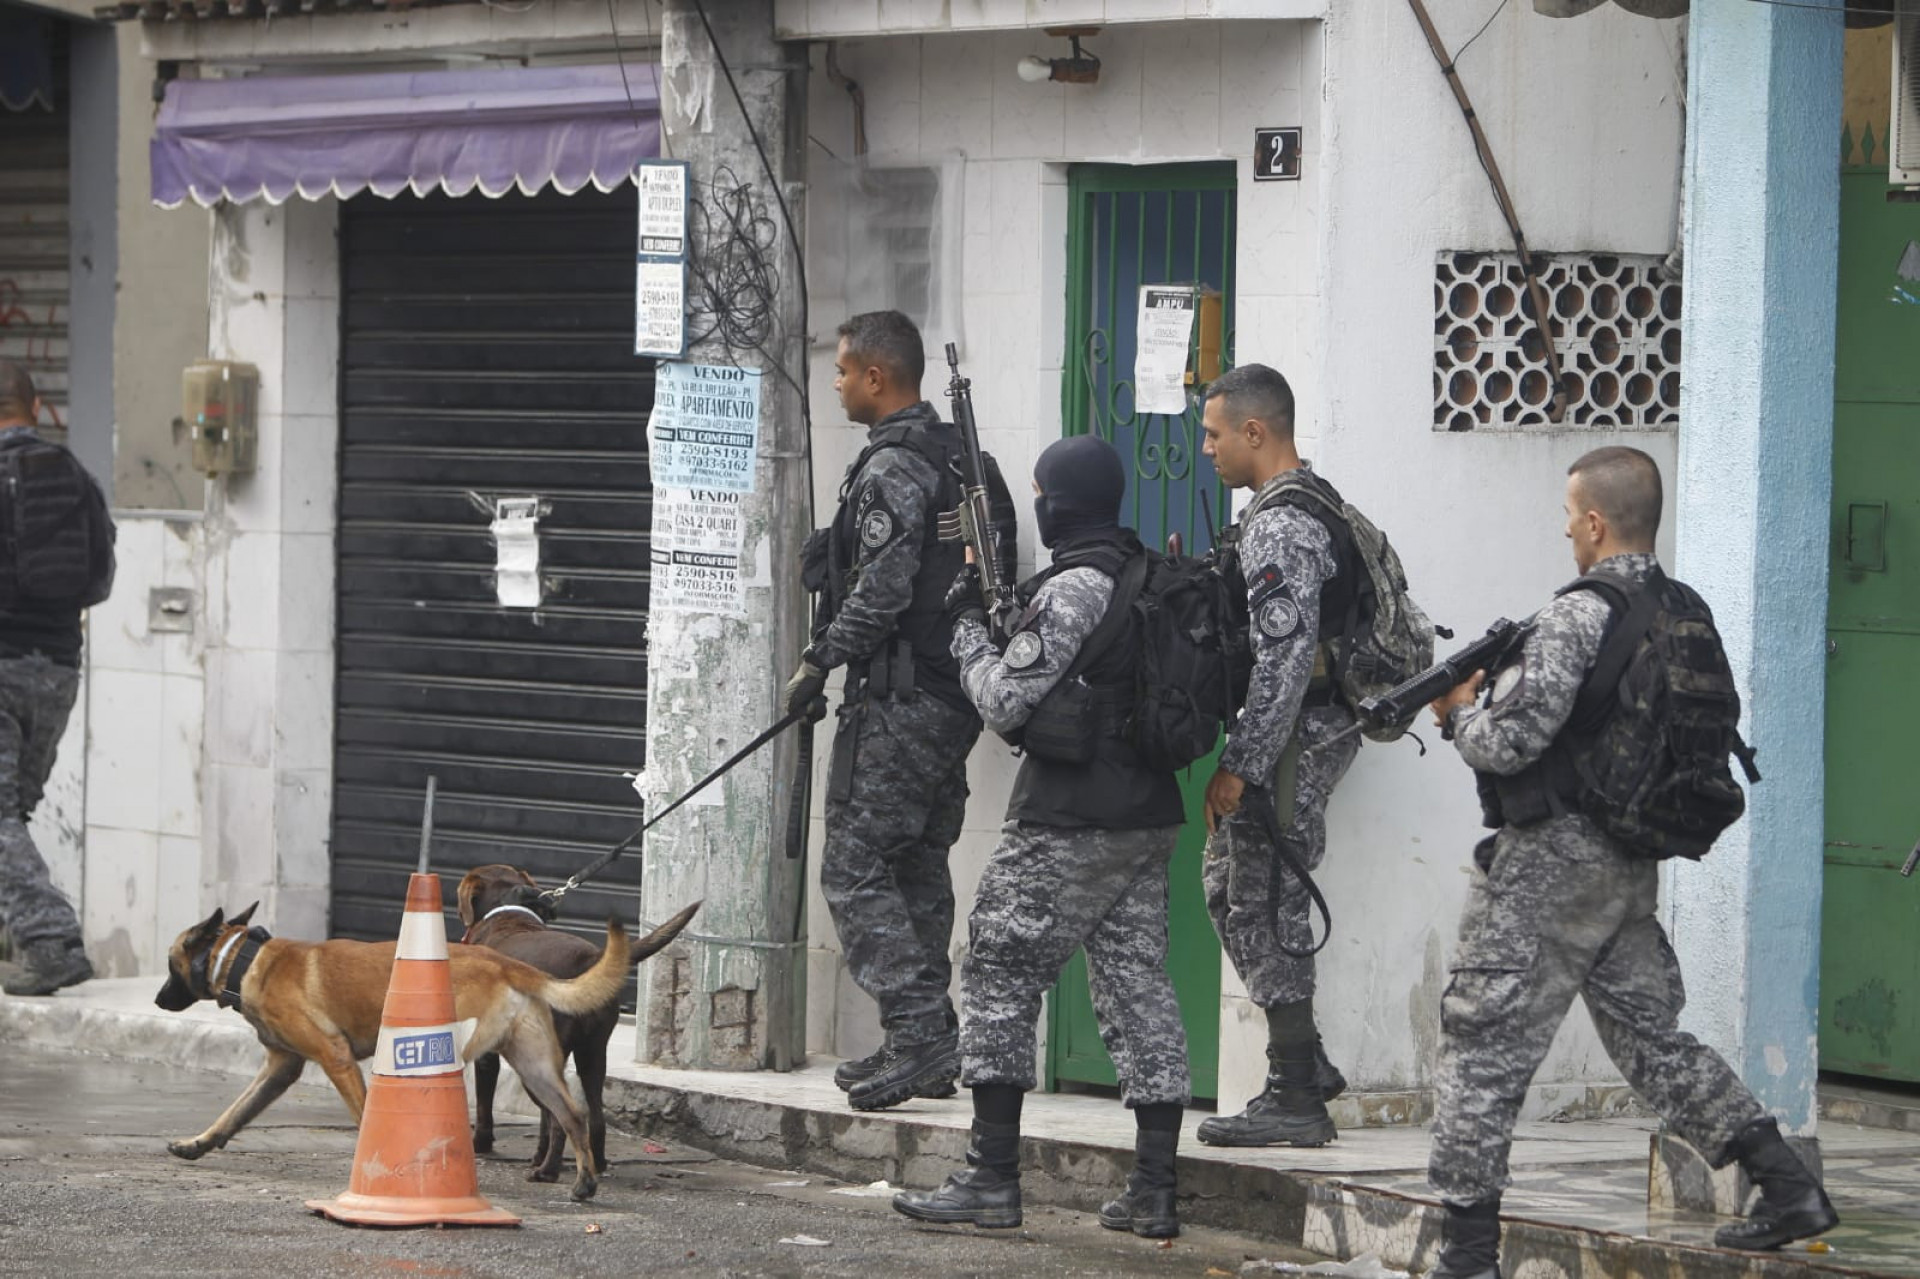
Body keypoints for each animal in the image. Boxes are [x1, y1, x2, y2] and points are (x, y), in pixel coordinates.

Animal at [455, 860, 698, 1182]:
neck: (508, 912)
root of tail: (590, 959)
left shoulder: (486, 1053)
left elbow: (485, 1104)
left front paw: (480, 1144)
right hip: (592, 1054)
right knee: (594, 1117)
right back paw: (596, 1164)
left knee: (563, 1118)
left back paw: (548, 1171)